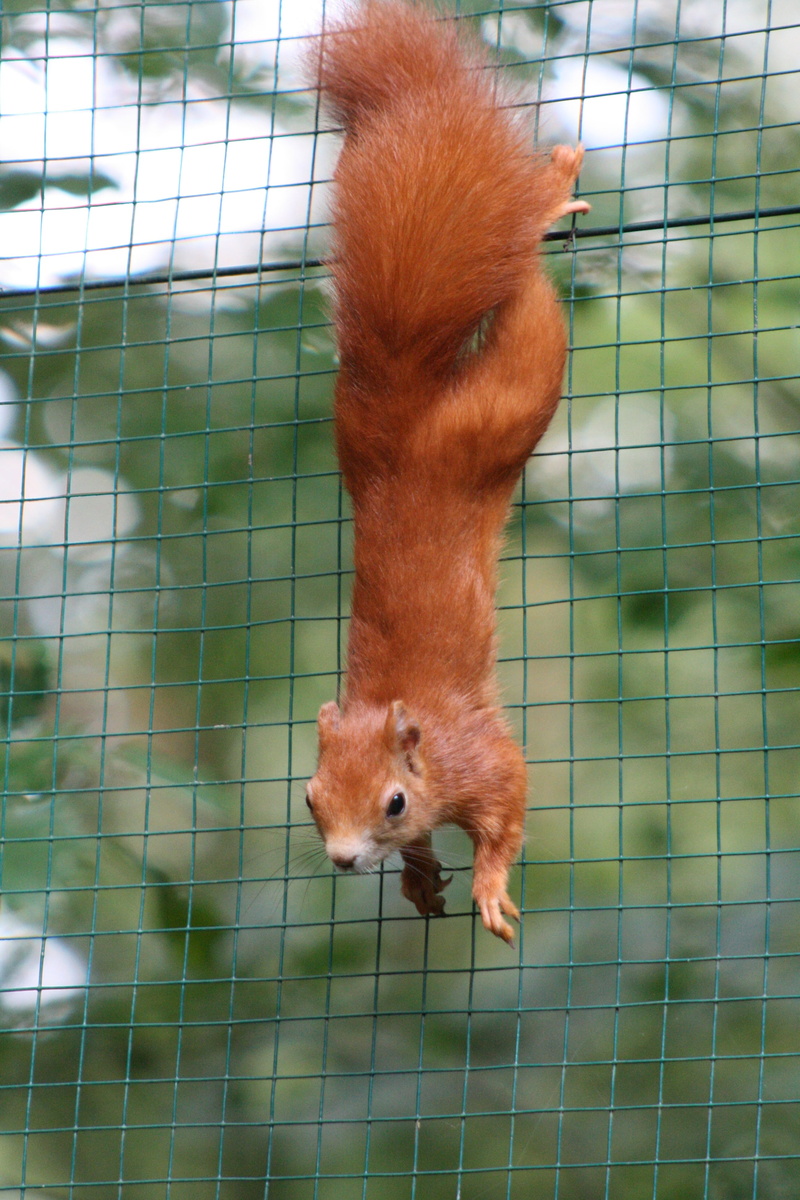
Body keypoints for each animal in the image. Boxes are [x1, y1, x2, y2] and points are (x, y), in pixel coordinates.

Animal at [304, 0, 589, 943]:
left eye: (394, 800)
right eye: (310, 797)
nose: (343, 859)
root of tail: (402, 410)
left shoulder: (481, 756)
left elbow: (508, 805)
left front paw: (487, 885)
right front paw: (420, 877)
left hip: (509, 401)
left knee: (531, 297)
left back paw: (547, 196)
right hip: (358, 431)